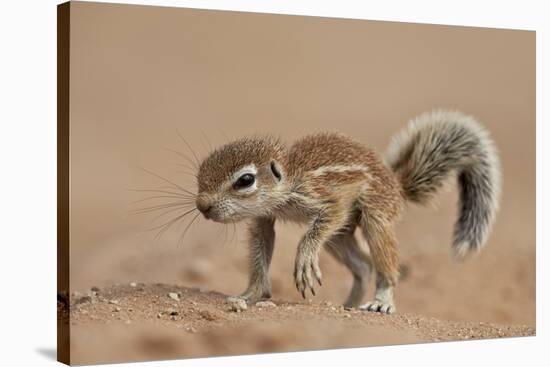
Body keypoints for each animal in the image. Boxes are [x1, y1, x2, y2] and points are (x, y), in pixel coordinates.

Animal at [196, 110, 502, 314]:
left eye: (246, 180)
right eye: (200, 173)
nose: (202, 206)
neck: (290, 177)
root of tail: (397, 186)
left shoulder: (325, 198)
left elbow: (319, 224)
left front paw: (305, 259)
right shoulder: (263, 218)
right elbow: (262, 246)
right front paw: (250, 294)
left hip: (375, 214)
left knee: (384, 264)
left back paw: (382, 301)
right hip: (339, 237)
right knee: (364, 265)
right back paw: (349, 305)